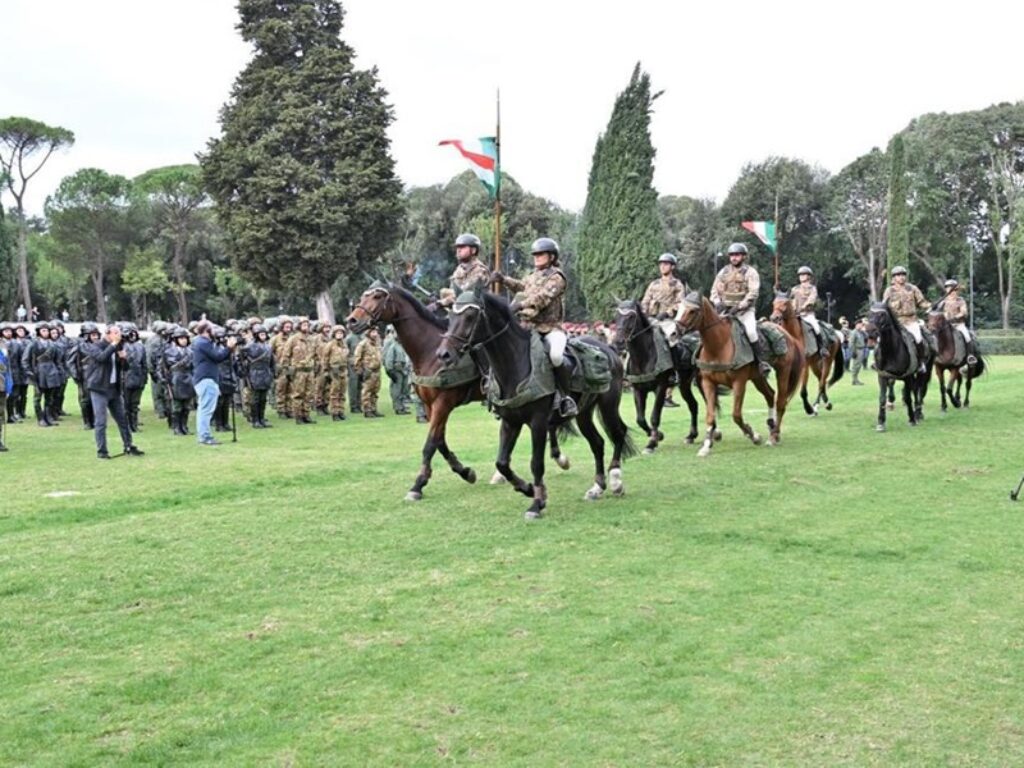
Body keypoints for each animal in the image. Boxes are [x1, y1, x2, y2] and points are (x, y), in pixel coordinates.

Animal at [346, 286, 489, 501]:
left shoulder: (443, 404)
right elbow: (440, 442)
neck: (430, 352)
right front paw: (465, 471)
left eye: (377, 296)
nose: (352, 320)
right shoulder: (430, 406)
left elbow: (430, 444)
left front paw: (418, 484)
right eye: (364, 295)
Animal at [436, 290, 634, 520]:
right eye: (450, 317)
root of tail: (609, 349)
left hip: (608, 405)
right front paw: (527, 489)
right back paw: (597, 488)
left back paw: (616, 481)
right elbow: (502, 463)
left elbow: (536, 463)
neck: (515, 365)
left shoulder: (538, 423)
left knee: (618, 434)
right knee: (598, 443)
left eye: (469, 316)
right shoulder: (510, 422)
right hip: (583, 413)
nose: (443, 354)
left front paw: (536, 504)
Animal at [610, 301, 700, 454]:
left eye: (631, 316)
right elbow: (640, 419)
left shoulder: (661, 388)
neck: (644, 356)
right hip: (684, 385)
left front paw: (651, 443)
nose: (619, 342)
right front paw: (657, 435)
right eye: (616, 316)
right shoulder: (638, 390)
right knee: (693, 404)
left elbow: (654, 416)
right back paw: (691, 436)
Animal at [679, 296, 806, 456]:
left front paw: (754, 436)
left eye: (692, 310)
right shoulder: (708, 383)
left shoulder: (739, 383)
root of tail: (789, 336)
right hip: (758, 377)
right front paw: (706, 445)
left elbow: (736, 415)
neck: (719, 345)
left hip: (783, 371)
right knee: (770, 395)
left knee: (781, 402)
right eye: (679, 307)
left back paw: (773, 436)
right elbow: (710, 415)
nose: (676, 329)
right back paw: (772, 427)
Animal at [864, 303, 937, 434]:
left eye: (882, 314)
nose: (870, 331)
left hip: (925, 371)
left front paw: (911, 419)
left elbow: (908, 398)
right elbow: (882, 398)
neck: (891, 350)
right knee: (915, 390)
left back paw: (918, 413)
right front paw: (881, 422)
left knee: (921, 389)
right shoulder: (882, 376)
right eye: (869, 313)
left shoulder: (907, 376)